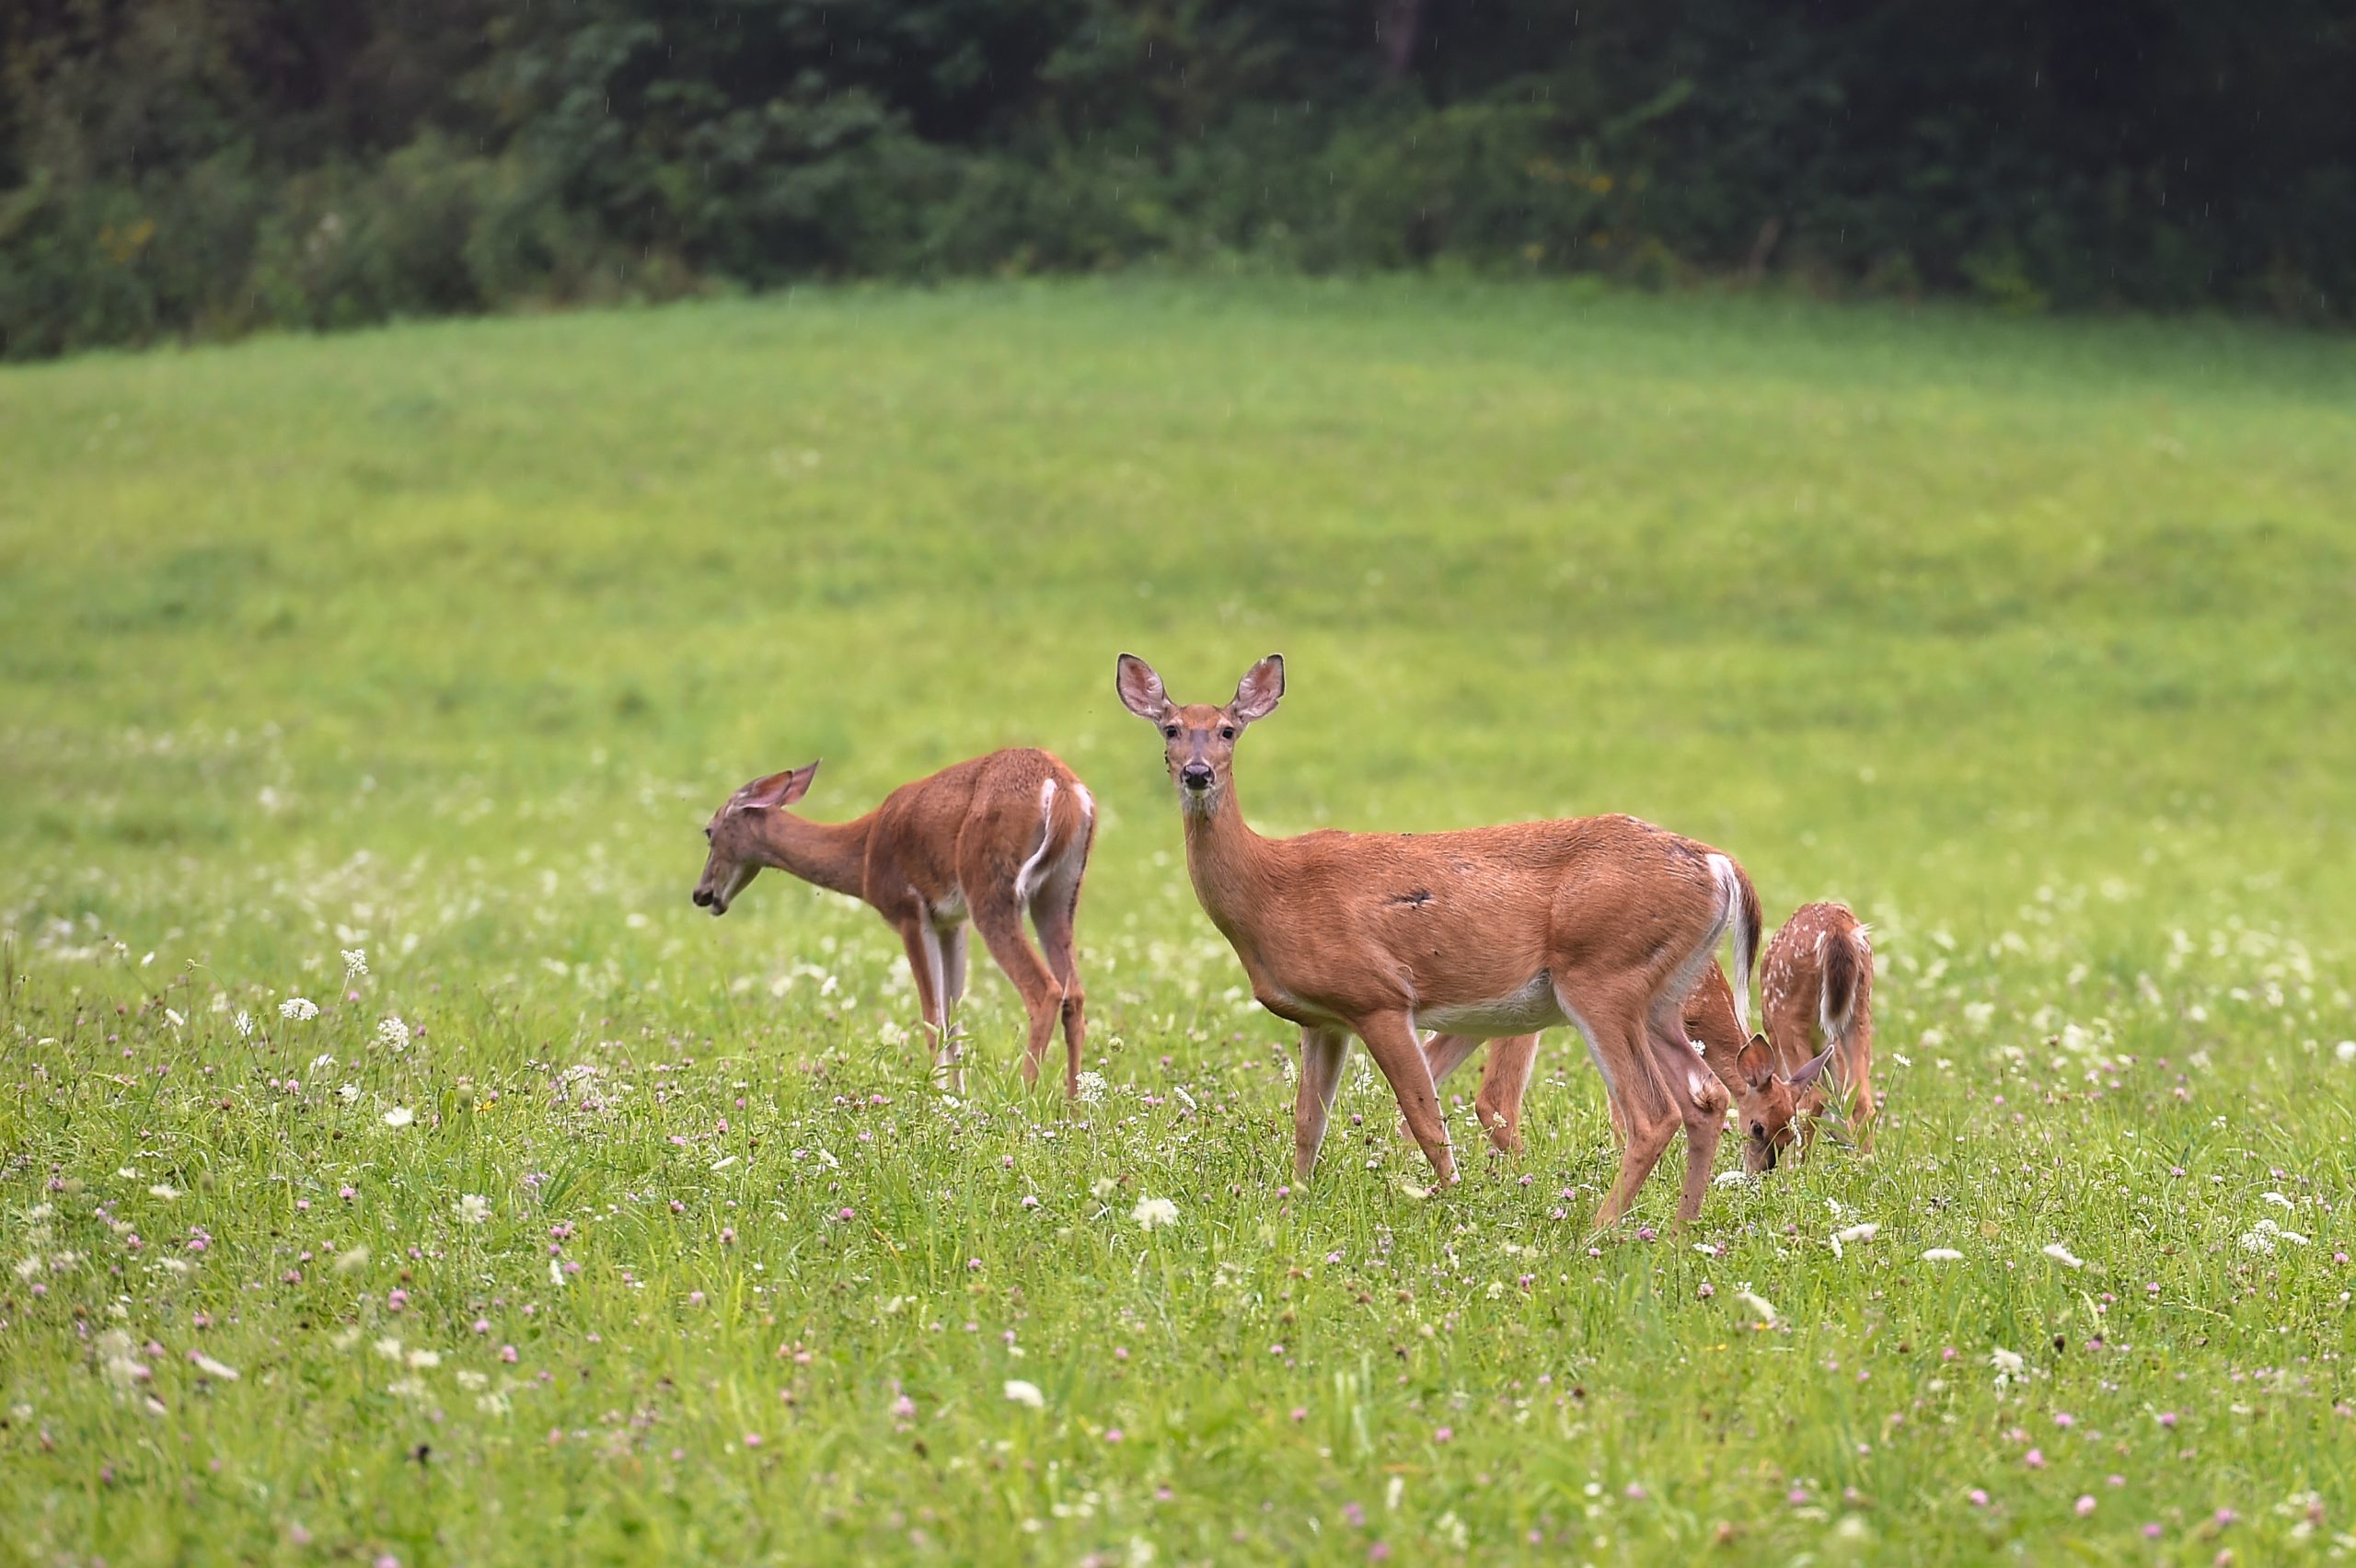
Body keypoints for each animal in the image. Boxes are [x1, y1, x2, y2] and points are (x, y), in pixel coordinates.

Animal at [691, 750, 1095, 1096]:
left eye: (709, 831)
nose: (701, 893)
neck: (864, 852)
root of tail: (1064, 788)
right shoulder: (952, 921)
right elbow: (953, 1018)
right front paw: (959, 1098)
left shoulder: (908, 908)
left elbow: (932, 1016)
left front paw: (939, 1098)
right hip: (1058, 892)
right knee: (1073, 993)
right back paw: (1073, 1106)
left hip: (991, 888)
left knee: (1044, 989)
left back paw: (1022, 1098)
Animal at [1115, 651, 1764, 1226]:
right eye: (1171, 729)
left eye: (1228, 730)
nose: (1197, 773)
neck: (1270, 889)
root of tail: (1719, 865)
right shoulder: (1323, 1019)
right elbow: (1307, 1125)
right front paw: (1291, 1204)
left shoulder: (1378, 996)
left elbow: (1425, 1119)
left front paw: (1454, 1202)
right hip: (1661, 995)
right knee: (1706, 1098)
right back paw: (1679, 1232)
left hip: (1604, 976)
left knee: (1653, 1112)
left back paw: (1599, 1232)